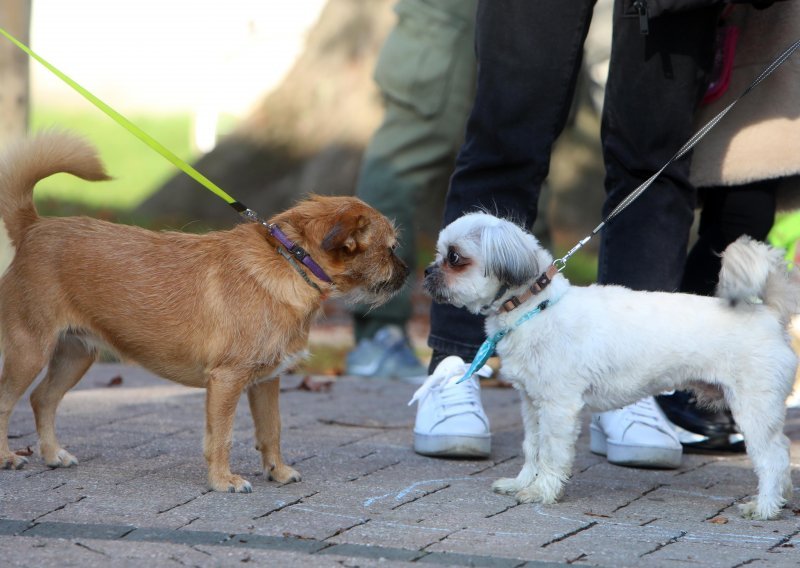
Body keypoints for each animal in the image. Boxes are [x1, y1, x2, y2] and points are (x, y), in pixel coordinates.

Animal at [0, 133, 410, 492]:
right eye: (390, 249)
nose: (409, 273)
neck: (290, 261)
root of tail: (34, 227)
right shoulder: (227, 382)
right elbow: (222, 437)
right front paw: (222, 481)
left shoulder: (266, 383)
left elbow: (271, 431)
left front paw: (276, 472)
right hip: (30, 352)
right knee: (8, 401)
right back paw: (7, 457)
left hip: (77, 355)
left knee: (43, 399)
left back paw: (52, 454)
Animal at [422, 212, 796, 520]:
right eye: (440, 253)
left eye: (454, 257)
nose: (427, 270)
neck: (536, 308)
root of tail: (768, 314)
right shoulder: (531, 403)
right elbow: (532, 448)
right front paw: (522, 483)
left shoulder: (559, 407)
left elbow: (552, 453)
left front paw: (542, 492)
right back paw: (781, 498)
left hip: (753, 408)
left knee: (774, 458)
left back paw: (764, 508)